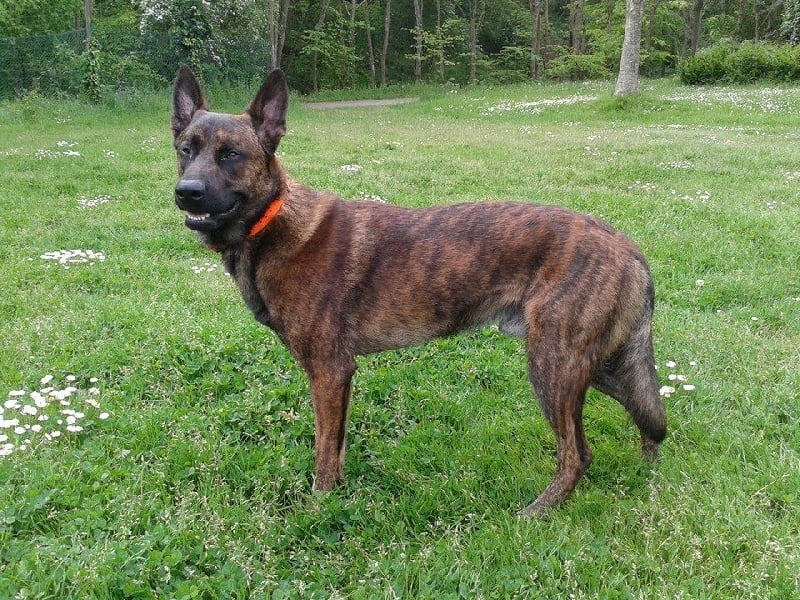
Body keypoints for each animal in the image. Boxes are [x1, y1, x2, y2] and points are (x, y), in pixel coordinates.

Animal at [171, 66, 667, 517]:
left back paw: (539, 511)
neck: (272, 222)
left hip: (554, 366)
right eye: (185, 150)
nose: (186, 192)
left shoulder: (328, 371)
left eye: (230, 154)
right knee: (647, 412)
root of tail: (627, 247)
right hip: (592, 363)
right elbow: (339, 446)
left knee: (578, 454)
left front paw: (320, 509)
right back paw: (647, 470)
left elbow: (325, 454)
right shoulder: (339, 377)